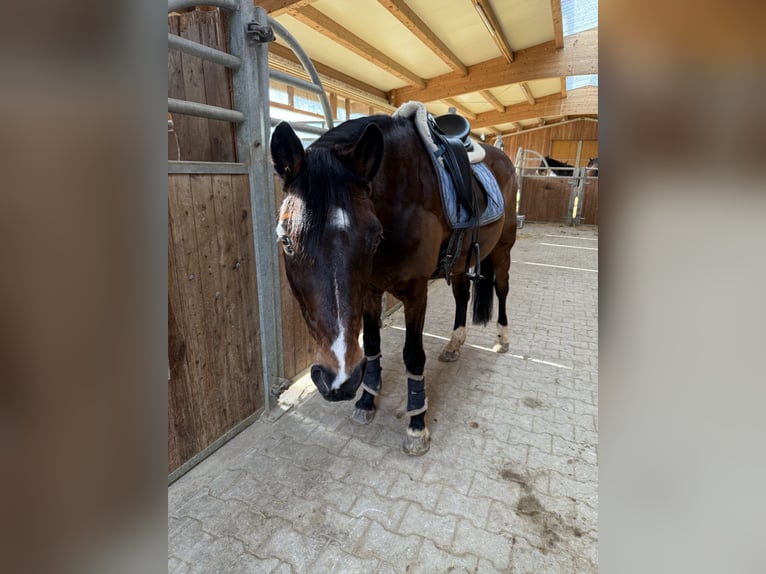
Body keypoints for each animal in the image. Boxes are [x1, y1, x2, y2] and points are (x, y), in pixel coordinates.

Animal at [270, 113, 517, 455]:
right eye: (286, 242)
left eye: (374, 238)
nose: (340, 380)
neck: (399, 197)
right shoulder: (370, 292)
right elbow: (373, 345)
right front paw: (367, 400)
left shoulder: (415, 291)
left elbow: (413, 355)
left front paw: (416, 425)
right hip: (459, 263)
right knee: (462, 296)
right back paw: (454, 345)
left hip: (504, 248)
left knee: (502, 289)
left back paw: (502, 339)